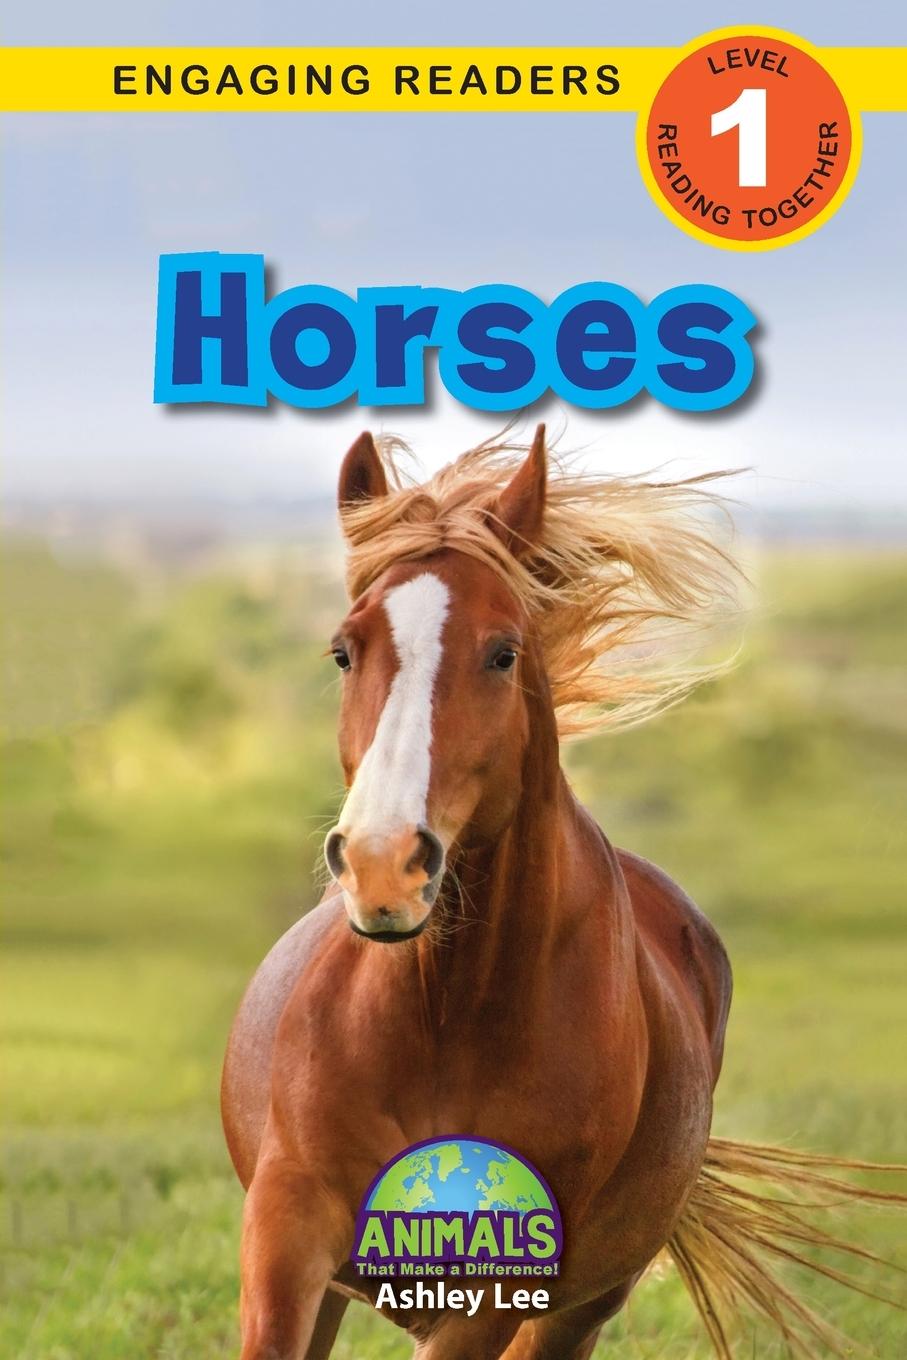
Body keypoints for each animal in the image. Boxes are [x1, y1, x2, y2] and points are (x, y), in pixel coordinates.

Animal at [222, 427, 903, 1360]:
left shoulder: (494, 1292)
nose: (382, 865)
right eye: (342, 650)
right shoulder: (287, 1235)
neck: (440, 1022)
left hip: (579, 1306)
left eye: (503, 652)